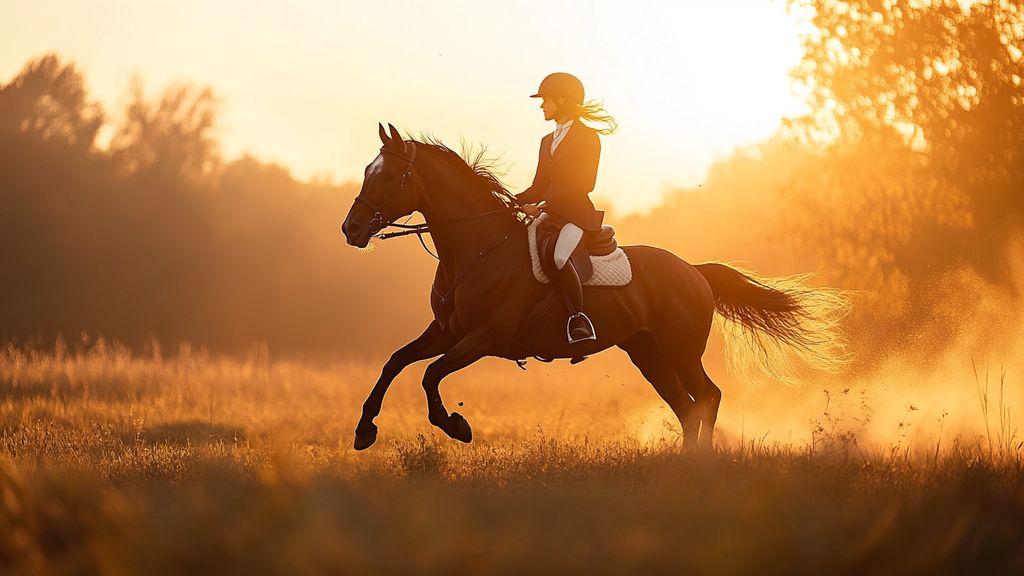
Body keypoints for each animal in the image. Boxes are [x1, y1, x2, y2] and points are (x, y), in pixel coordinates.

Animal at [339, 123, 843, 450]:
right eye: (366, 170)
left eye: (389, 175)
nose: (351, 229)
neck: (477, 250)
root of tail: (692, 270)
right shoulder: (446, 331)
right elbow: (395, 361)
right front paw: (364, 431)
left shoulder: (484, 337)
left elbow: (429, 375)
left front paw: (457, 426)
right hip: (646, 352)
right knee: (686, 406)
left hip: (679, 349)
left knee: (707, 398)